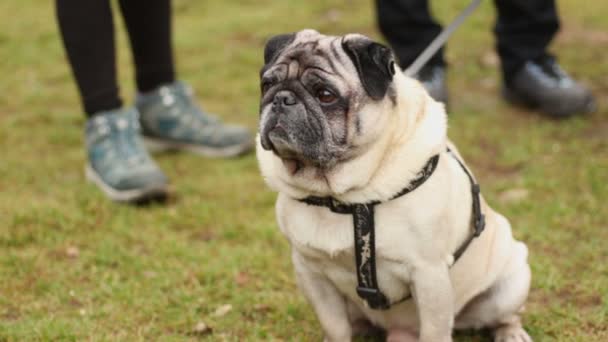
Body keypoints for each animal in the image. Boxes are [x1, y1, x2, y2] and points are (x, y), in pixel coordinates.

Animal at [256, 30, 532, 342]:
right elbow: (335, 326)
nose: (282, 98)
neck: (344, 197)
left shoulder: (429, 274)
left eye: (325, 95)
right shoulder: (311, 273)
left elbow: (435, 331)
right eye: (267, 84)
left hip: (511, 282)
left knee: (506, 315)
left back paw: (511, 333)